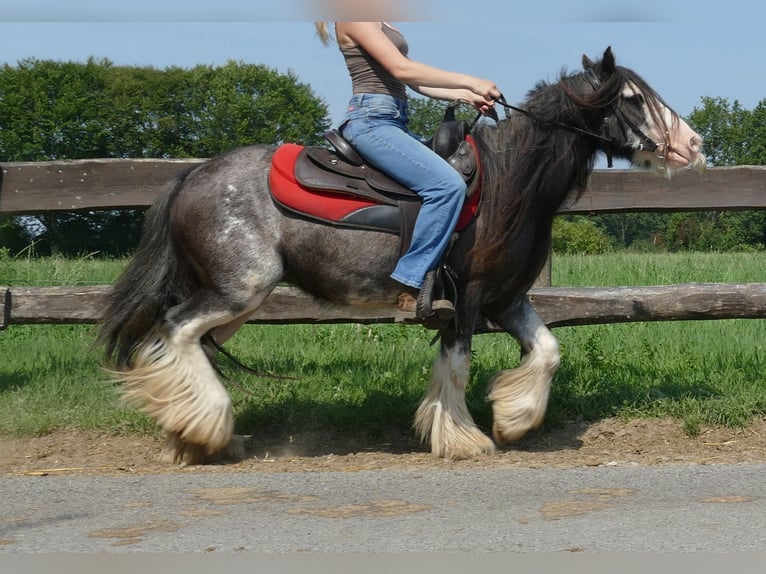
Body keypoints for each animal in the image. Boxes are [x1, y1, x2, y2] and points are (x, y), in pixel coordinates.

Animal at [97, 47, 708, 466]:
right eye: (632, 99)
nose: (694, 144)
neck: (509, 181)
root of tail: (191, 176)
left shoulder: (508, 299)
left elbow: (548, 351)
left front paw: (515, 420)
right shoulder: (469, 299)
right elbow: (457, 366)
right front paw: (463, 438)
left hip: (234, 300)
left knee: (188, 345)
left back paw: (192, 435)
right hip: (238, 290)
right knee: (175, 330)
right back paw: (208, 429)